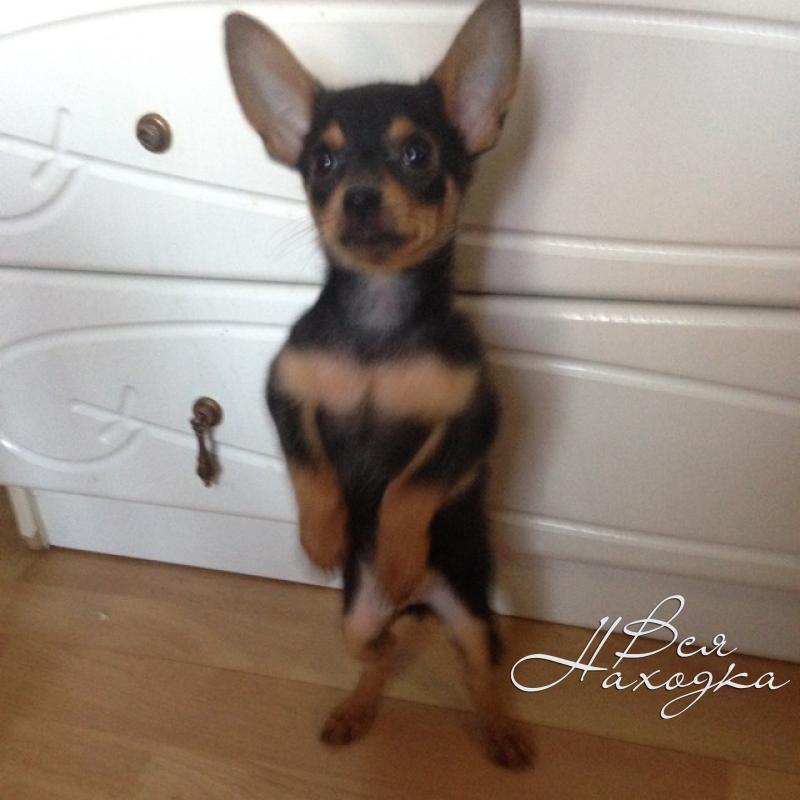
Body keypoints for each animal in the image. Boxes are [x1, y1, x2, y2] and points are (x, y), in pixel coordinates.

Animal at [224, 0, 530, 769]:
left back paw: (502, 731)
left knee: (478, 673)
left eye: (417, 154)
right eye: (322, 163)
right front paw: (322, 536)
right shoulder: (286, 393)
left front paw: (393, 549)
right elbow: (308, 465)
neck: (379, 322)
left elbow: (410, 486)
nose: (358, 198)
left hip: (471, 612)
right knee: (380, 652)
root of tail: (416, 603)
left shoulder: (473, 421)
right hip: (357, 617)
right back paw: (357, 707)